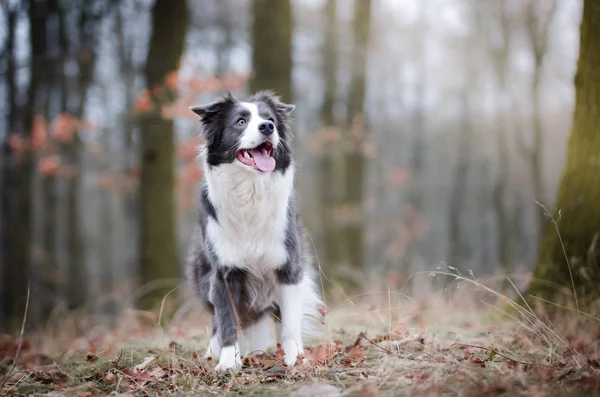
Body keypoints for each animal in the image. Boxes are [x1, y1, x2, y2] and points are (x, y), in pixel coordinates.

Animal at [186, 91, 324, 370]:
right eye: (240, 122)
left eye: (269, 119)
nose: (267, 127)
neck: (250, 189)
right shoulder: (223, 272)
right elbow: (227, 320)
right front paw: (228, 361)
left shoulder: (289, 266)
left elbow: (289, 323)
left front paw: (294, 357)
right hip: (203, 277)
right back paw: (213, 351)